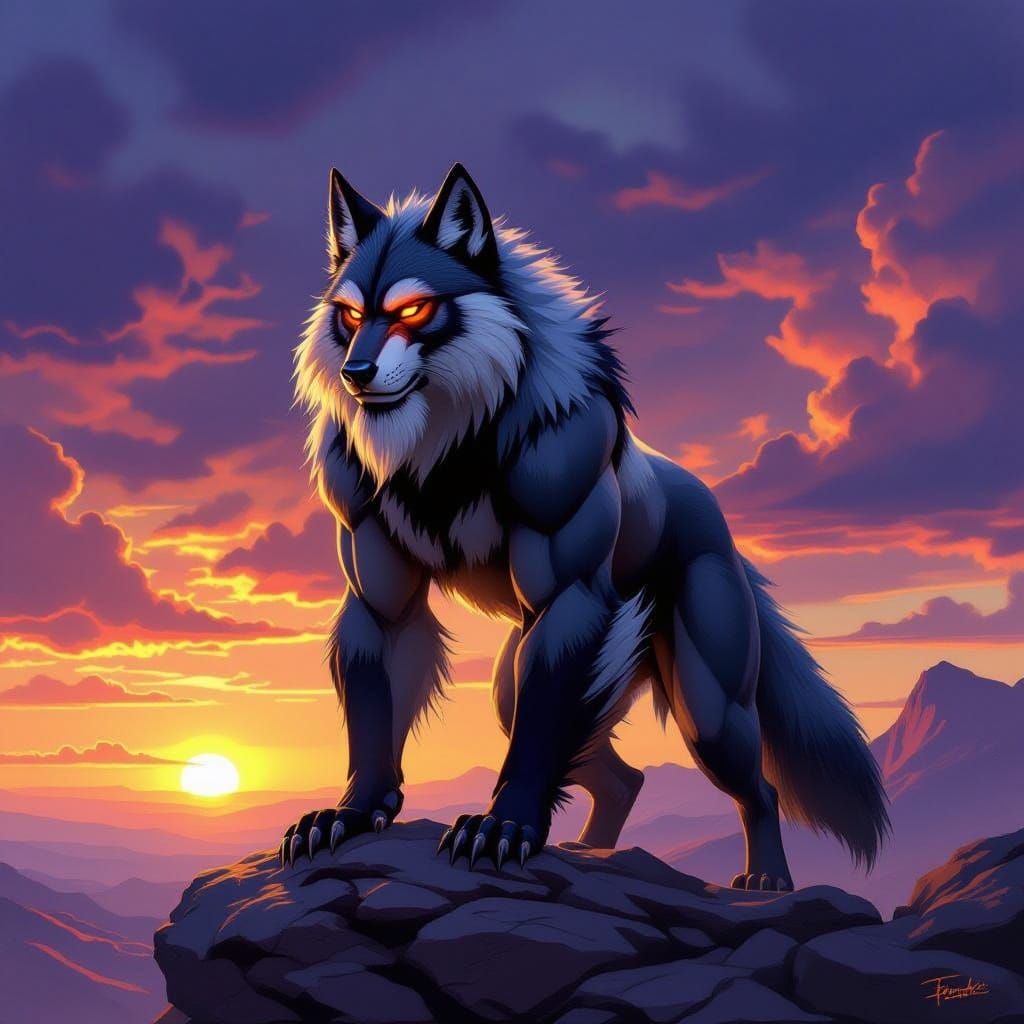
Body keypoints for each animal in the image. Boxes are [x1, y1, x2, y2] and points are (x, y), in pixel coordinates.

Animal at [284, 164, 889, 889]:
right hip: (515, 683)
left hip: (708, 712)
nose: (356, 372)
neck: (446, 451)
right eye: (350, 315)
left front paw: (503, 826)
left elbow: (537, 743)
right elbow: (375, 720)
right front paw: (353, 812)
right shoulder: (383, 602)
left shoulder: (567, 593)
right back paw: (590, 853)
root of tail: (712, 509)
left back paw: (766, 878)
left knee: (758, 789)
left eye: (411, 310)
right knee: (623, 779)